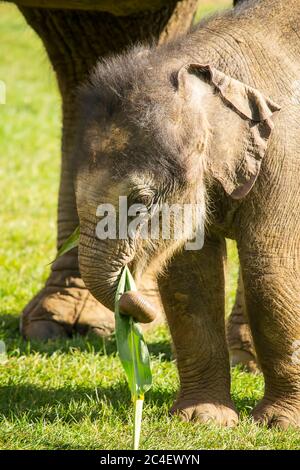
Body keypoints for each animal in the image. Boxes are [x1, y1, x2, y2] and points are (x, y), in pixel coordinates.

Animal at [74, 0, 300, 426]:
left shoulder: (286, 158)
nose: (137, 306)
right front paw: (202, 418)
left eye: (142, 202)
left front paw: (277, 423)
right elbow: (188, 277)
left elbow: (270, 271)